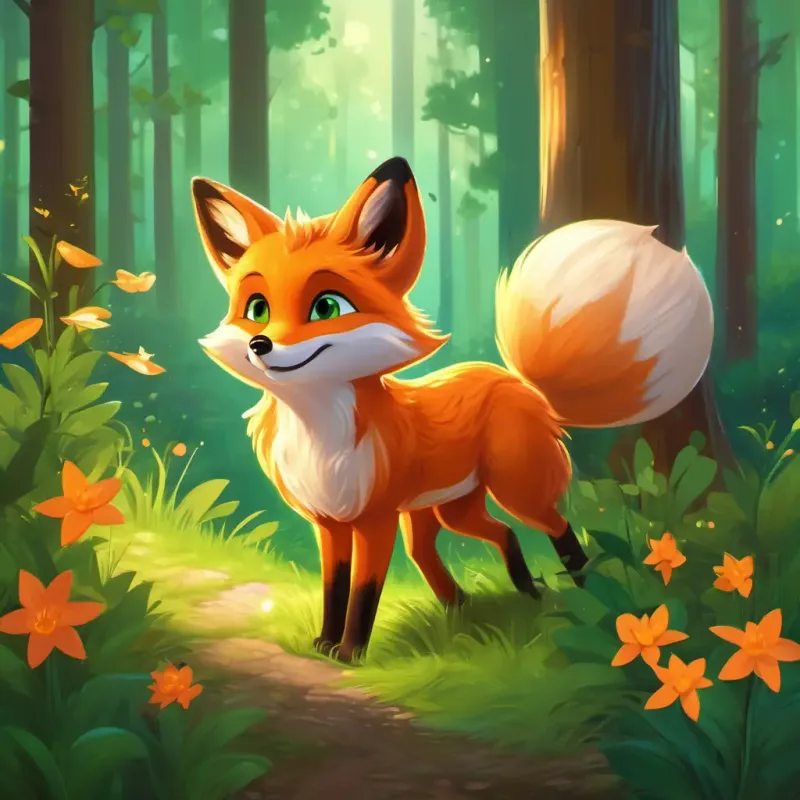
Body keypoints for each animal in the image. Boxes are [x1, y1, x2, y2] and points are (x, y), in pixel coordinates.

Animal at [191, 156, 714, 664]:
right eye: (257, 309)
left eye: (326, 307)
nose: (261, 345)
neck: (320, 435)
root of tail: (521, 384)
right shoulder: (330, 524)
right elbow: (334, 588)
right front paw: (324, 642)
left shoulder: (374, 520)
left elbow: (364, 591)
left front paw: (351, 652)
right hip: (446, 509)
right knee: (476, 540)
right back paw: (490, 598)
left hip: (512, 490)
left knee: (557, 530)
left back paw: (585, 601)